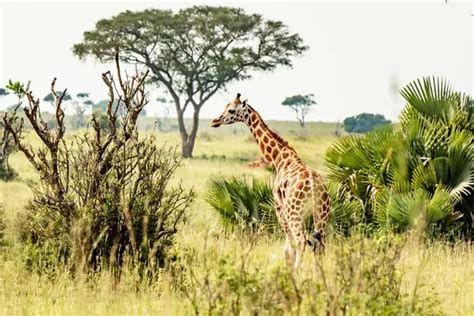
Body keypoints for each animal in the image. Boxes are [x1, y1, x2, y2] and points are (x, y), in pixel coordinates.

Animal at [211, 94, 330, 270]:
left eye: (231, 110)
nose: (215, 121)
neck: (279, 158)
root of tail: (315, 186)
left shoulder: (279, 208)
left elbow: (288, 248)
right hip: (322, 214)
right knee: (320, 245)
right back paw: (319, 274)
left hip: (295, 213)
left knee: (301, 241)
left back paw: (297, 272)